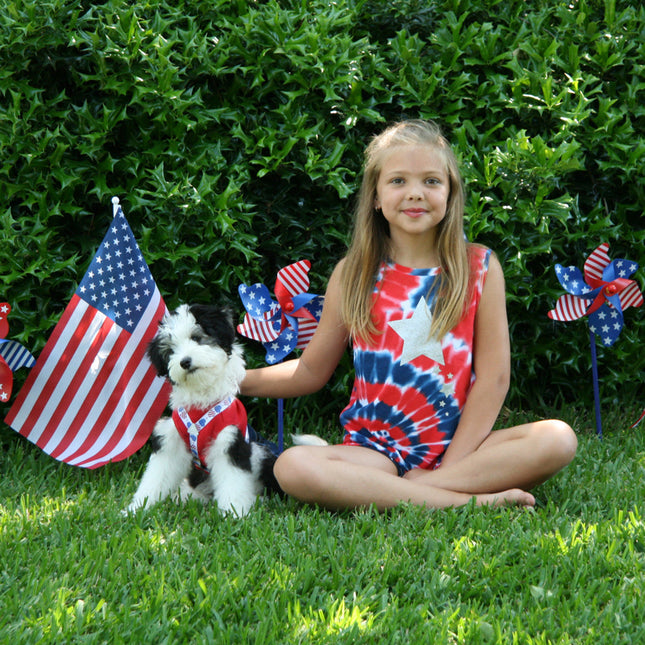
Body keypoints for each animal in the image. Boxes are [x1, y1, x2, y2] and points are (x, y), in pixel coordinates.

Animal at [124, 304, 324, 520]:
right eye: (171, 350)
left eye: (197, 338)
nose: (185, 362)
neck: (203, 399)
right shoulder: (171, 441)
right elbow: (156, 476)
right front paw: (138, 508)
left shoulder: (230, 440)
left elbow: (233, 481)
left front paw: (234, 513)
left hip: (260, 453)